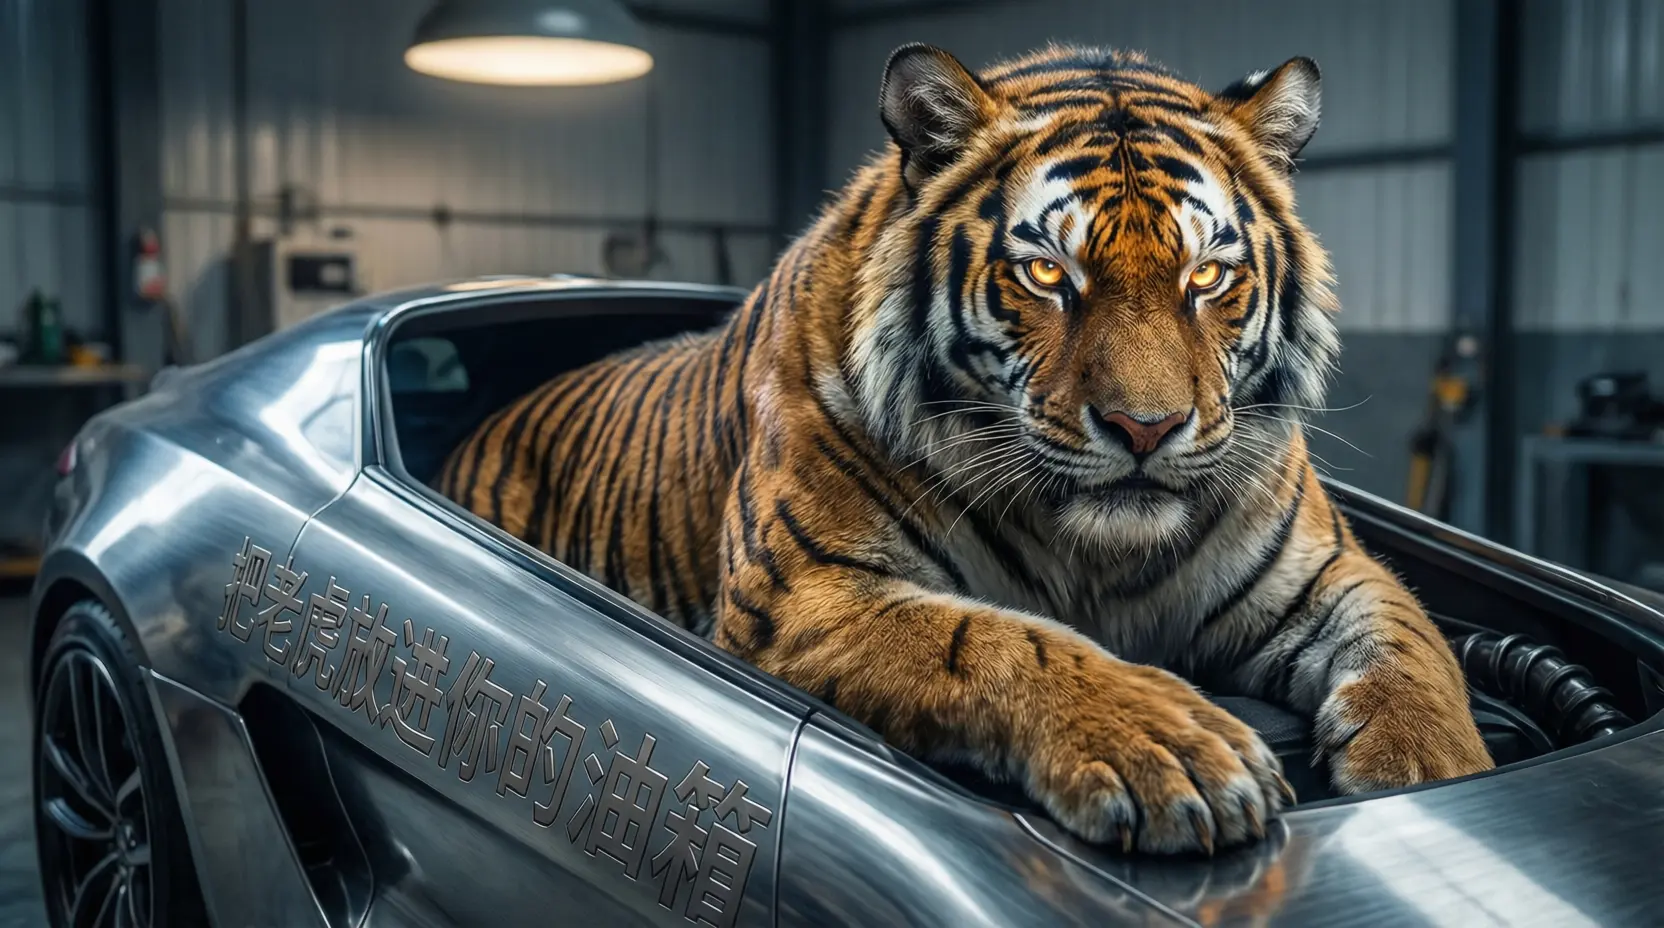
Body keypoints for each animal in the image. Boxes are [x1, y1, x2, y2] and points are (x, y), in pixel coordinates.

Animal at [437, 42, 1493, 855]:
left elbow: (1412, 647)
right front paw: (1173, 750)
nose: (1147, 428)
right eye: (1047, 275)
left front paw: (1432, 764)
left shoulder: (1325, 572)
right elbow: (997, 638)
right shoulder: (806, 594)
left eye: (1206, 277)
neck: (1099, 554)